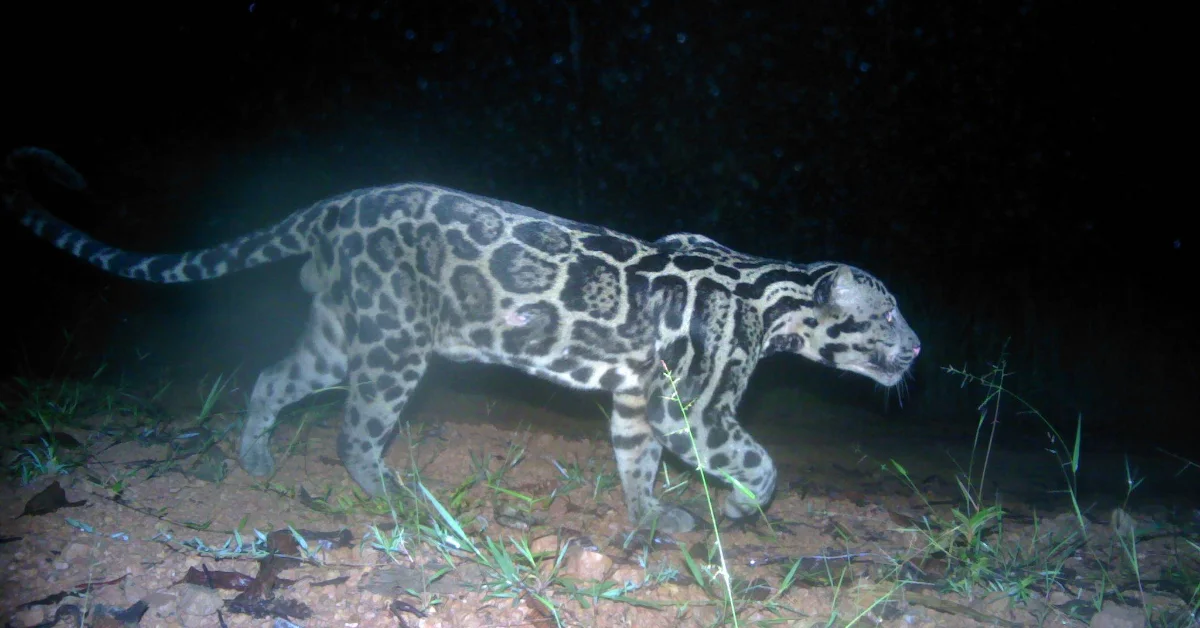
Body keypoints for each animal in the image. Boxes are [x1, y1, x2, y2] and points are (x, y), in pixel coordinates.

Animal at [3, 147, 921, 533]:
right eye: (887, 318)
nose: (918, 351)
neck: (775, 289)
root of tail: (334, 205)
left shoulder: (637, 400)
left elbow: (634, 462)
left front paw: (651, 514)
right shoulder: (696, 408)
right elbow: (763, 464)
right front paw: (735, 506)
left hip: (342, 334)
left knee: (269, 376)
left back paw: (258, 461)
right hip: (393, 344)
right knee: (355, 429)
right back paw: (388, 496)